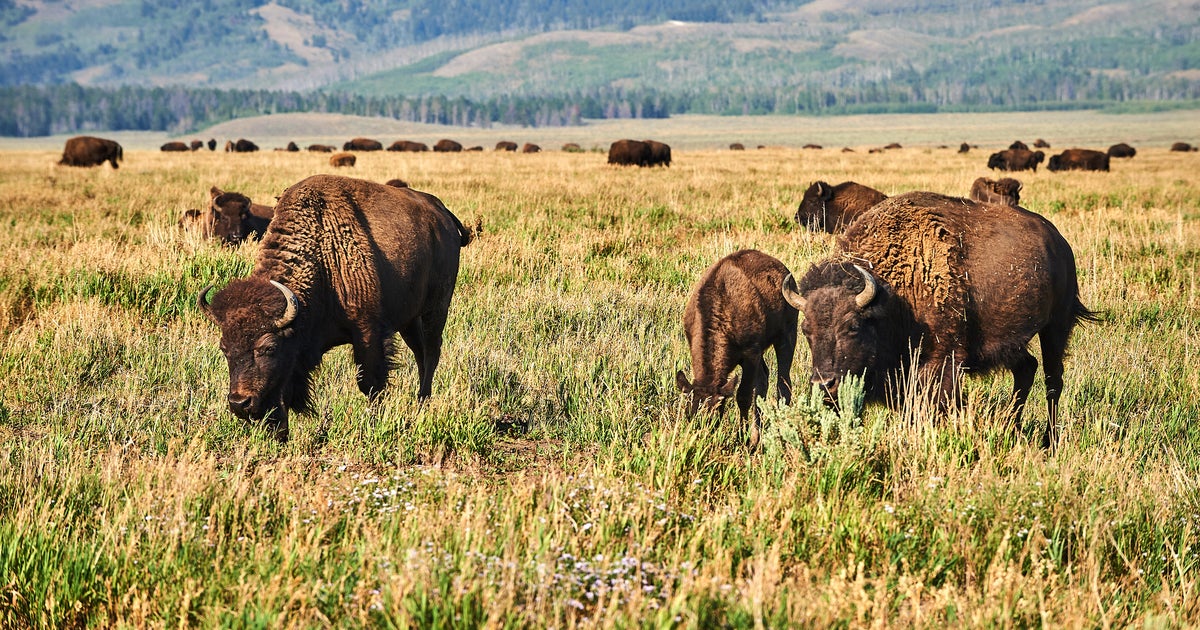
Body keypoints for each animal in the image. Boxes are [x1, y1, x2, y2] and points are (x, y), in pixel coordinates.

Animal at [198, 175, 474, 440]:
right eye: (224, 348)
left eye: (268, 347)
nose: (239, 403)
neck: (322, 257)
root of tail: (442, 213)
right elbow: (282, 391)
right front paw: (281, 436)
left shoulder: (368, 332)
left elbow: (370, 383)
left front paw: (373, 425)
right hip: (409, 320)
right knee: (420, 354)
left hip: (435, 308)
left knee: (431, 352)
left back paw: (422, 404)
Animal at [677, 249, 797, 449]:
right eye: (689, 413)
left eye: (715, 412)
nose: (702, 439)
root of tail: (785, 271)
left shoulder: (750, 354)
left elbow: (743, 396)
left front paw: (743, 438)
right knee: (765, 378)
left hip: (787, 335)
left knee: (783, 383)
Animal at [781, 191, 1097, 449]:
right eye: (806, 330)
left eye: (853, 326)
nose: (824, 384)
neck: (894, 295)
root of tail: (1059, 242)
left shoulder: (941, 364)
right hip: (1011, 342)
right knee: (1026, 369)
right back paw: (1011, 427)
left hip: (1056, 326)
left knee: (1052, 379)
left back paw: (1049, 441)